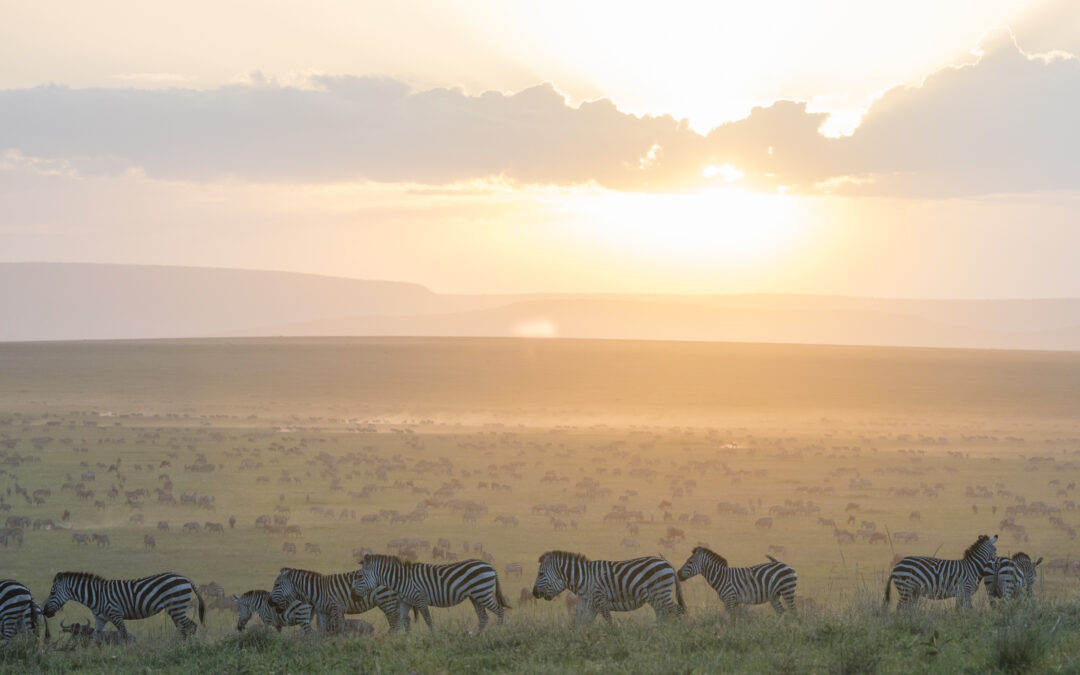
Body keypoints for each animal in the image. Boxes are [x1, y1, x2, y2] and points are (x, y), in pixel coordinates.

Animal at [39, 570, 204, 639]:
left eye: (52, 593)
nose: (44, 611)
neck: (96, 595)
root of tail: (186, 578)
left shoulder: (115, 614)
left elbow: (124, 635)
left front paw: (126, 653)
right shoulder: (100, 619)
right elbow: (94, 637)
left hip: (177, 607)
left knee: (191, 626)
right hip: (175, 609)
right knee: (184, 627)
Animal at [268, 565, 406, 635]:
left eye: (277, 585)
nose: (269, 601)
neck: (318, 590)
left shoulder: (336, 608)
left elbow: (339, 629)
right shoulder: (322, 612)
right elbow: (322, 632)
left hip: (386, 600)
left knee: (395, 622)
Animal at [352, 552, 507, 630]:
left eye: (359, 576)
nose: (353, 595)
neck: (401, 579)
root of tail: (491, 567)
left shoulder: (420, 599)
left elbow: (428, 621)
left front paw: (434, 638)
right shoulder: (405, 602)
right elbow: (399, 622)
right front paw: (393, 642)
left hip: (483, 593)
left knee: (500, 611)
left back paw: (497, 633)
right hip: (475, 596)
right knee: (483, 618)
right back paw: (477, 637)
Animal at [529, 548, 682, 622]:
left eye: (541, 574)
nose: (534, 593)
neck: (584, 578)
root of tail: (668, 563)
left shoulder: (600, 599)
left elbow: (609, 621)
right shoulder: (588, 603)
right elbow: (579, 622)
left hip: (660, 592)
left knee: (678, 610)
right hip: (656, 597)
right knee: (664, 614)